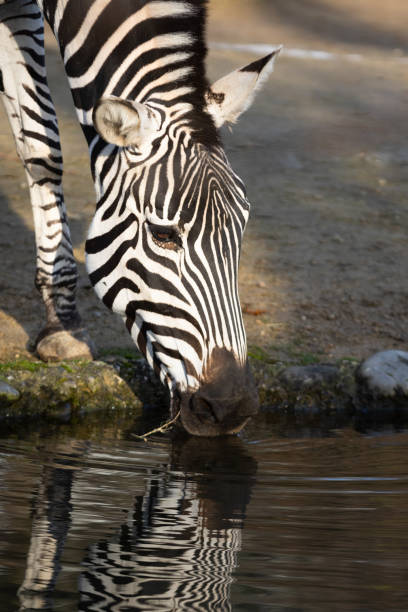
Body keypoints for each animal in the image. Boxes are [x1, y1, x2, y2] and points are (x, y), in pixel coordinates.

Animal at [0, 0, 280, 436]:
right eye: (164, 235)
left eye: (242, 229)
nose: (231, 407)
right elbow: (41, 145)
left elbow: (41, 148)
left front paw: (61, 318)